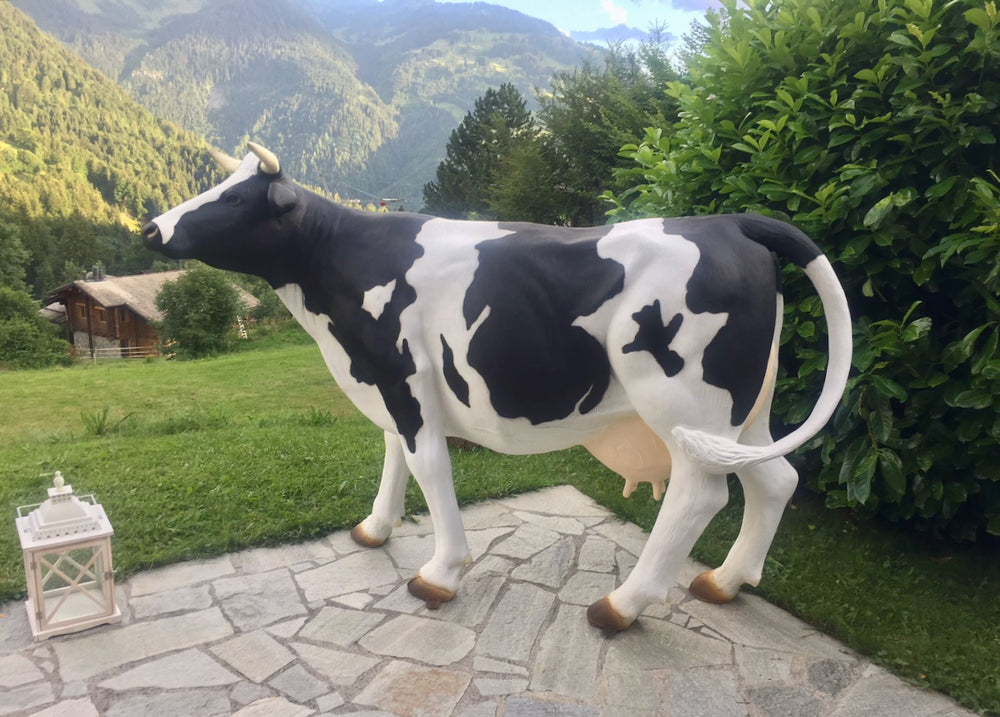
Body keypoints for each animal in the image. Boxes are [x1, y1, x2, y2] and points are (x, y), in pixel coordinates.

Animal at [142, 143, 852, 633]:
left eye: (235, 200)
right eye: (219, 185)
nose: (151, 228)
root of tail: (729, 222)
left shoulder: (403, 380)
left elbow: (427, 465)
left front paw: (440, 573)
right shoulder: (393, 384)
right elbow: (393, 454)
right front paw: (375, 530)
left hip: (686, 405)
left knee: (700, 495)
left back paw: (621, 606)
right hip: (744, 412)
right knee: (776, 479)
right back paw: (725, 582)